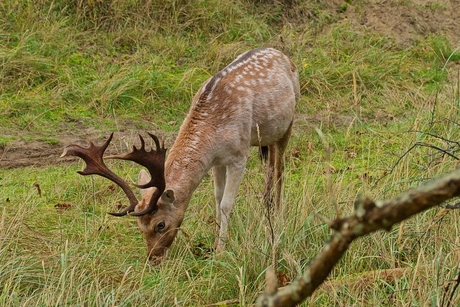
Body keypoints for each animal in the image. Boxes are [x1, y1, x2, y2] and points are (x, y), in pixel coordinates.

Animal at [61, 47, 300, 264]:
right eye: (139, 226)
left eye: (160, 224)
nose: (154, 258)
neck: (214, 132)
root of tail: (281, 53)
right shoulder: (217, 161)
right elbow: (217, 197)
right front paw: (214, 241)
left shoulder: (239, 155)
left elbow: (226, 203)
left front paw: (221, 250)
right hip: (267, 137)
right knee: (270, 166)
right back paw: (267, 206)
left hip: (288, 123)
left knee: (280, 168)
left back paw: (276, 214)